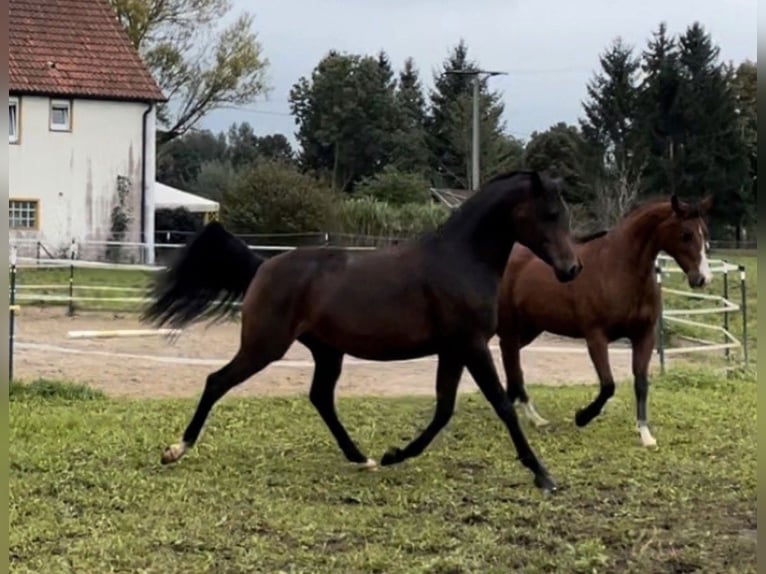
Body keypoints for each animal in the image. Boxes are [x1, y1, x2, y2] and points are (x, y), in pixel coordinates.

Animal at [142, 171, 584, 496]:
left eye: (564, 214)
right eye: (549, 213)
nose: (571, 270)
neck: (461, 260)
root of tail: (263, 266)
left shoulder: (453, 350)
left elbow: (443, 410)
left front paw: (393, 455)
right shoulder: (473, 345)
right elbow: (502, 405)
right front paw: (543, 475)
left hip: (327, 352)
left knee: (321, 398)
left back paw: (362, 458)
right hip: (264, 346)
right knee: (217, 381)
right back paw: (176, 449)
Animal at [498, 196, 712, 448]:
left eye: (704, 233)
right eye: (686, 234)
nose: (703, 279)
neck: (618, 270)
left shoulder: (644, 336)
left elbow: (641, 383)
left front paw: (645, 434)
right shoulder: (596, 337)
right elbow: (608, 385)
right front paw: (582, 417)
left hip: (528, 329)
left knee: (512, 364)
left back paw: (533, 417)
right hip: (510, 328)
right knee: (510, 363)